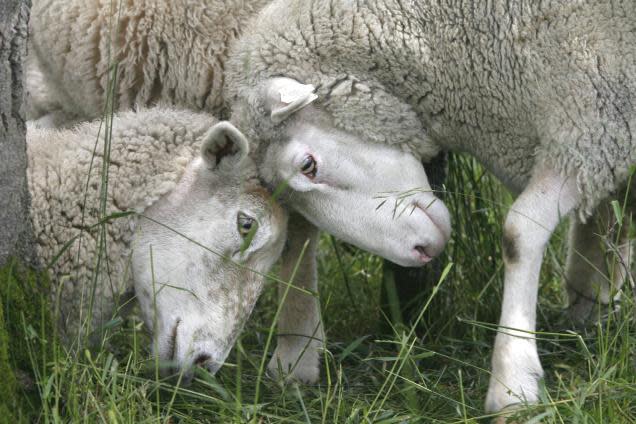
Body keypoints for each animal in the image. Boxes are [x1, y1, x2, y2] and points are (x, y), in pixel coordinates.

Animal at [222, 0, 636, 410]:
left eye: (308, 166)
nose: (421, 251)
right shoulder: (598, 127)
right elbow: (603, 221)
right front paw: (590, 310)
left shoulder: (591, 119)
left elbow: (519, 232)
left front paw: (512, 381)